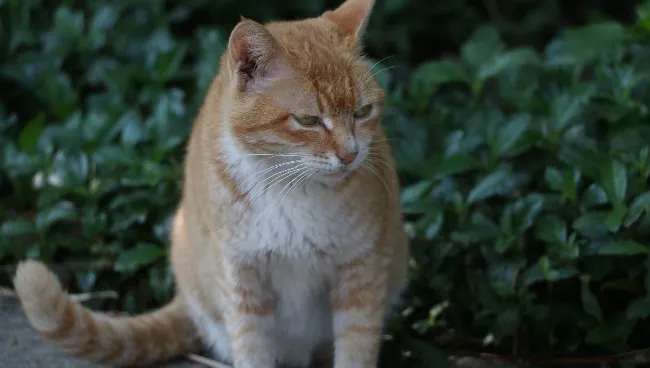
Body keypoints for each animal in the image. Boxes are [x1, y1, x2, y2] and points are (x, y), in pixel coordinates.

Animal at [12, 0, 408, 366]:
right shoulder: (241, 279)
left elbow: (356, 348)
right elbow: (252, 350)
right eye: (308, 120)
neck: (290, 189)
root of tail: (184, 299)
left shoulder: (362, 270)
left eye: (362, 112)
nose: (350, 154)